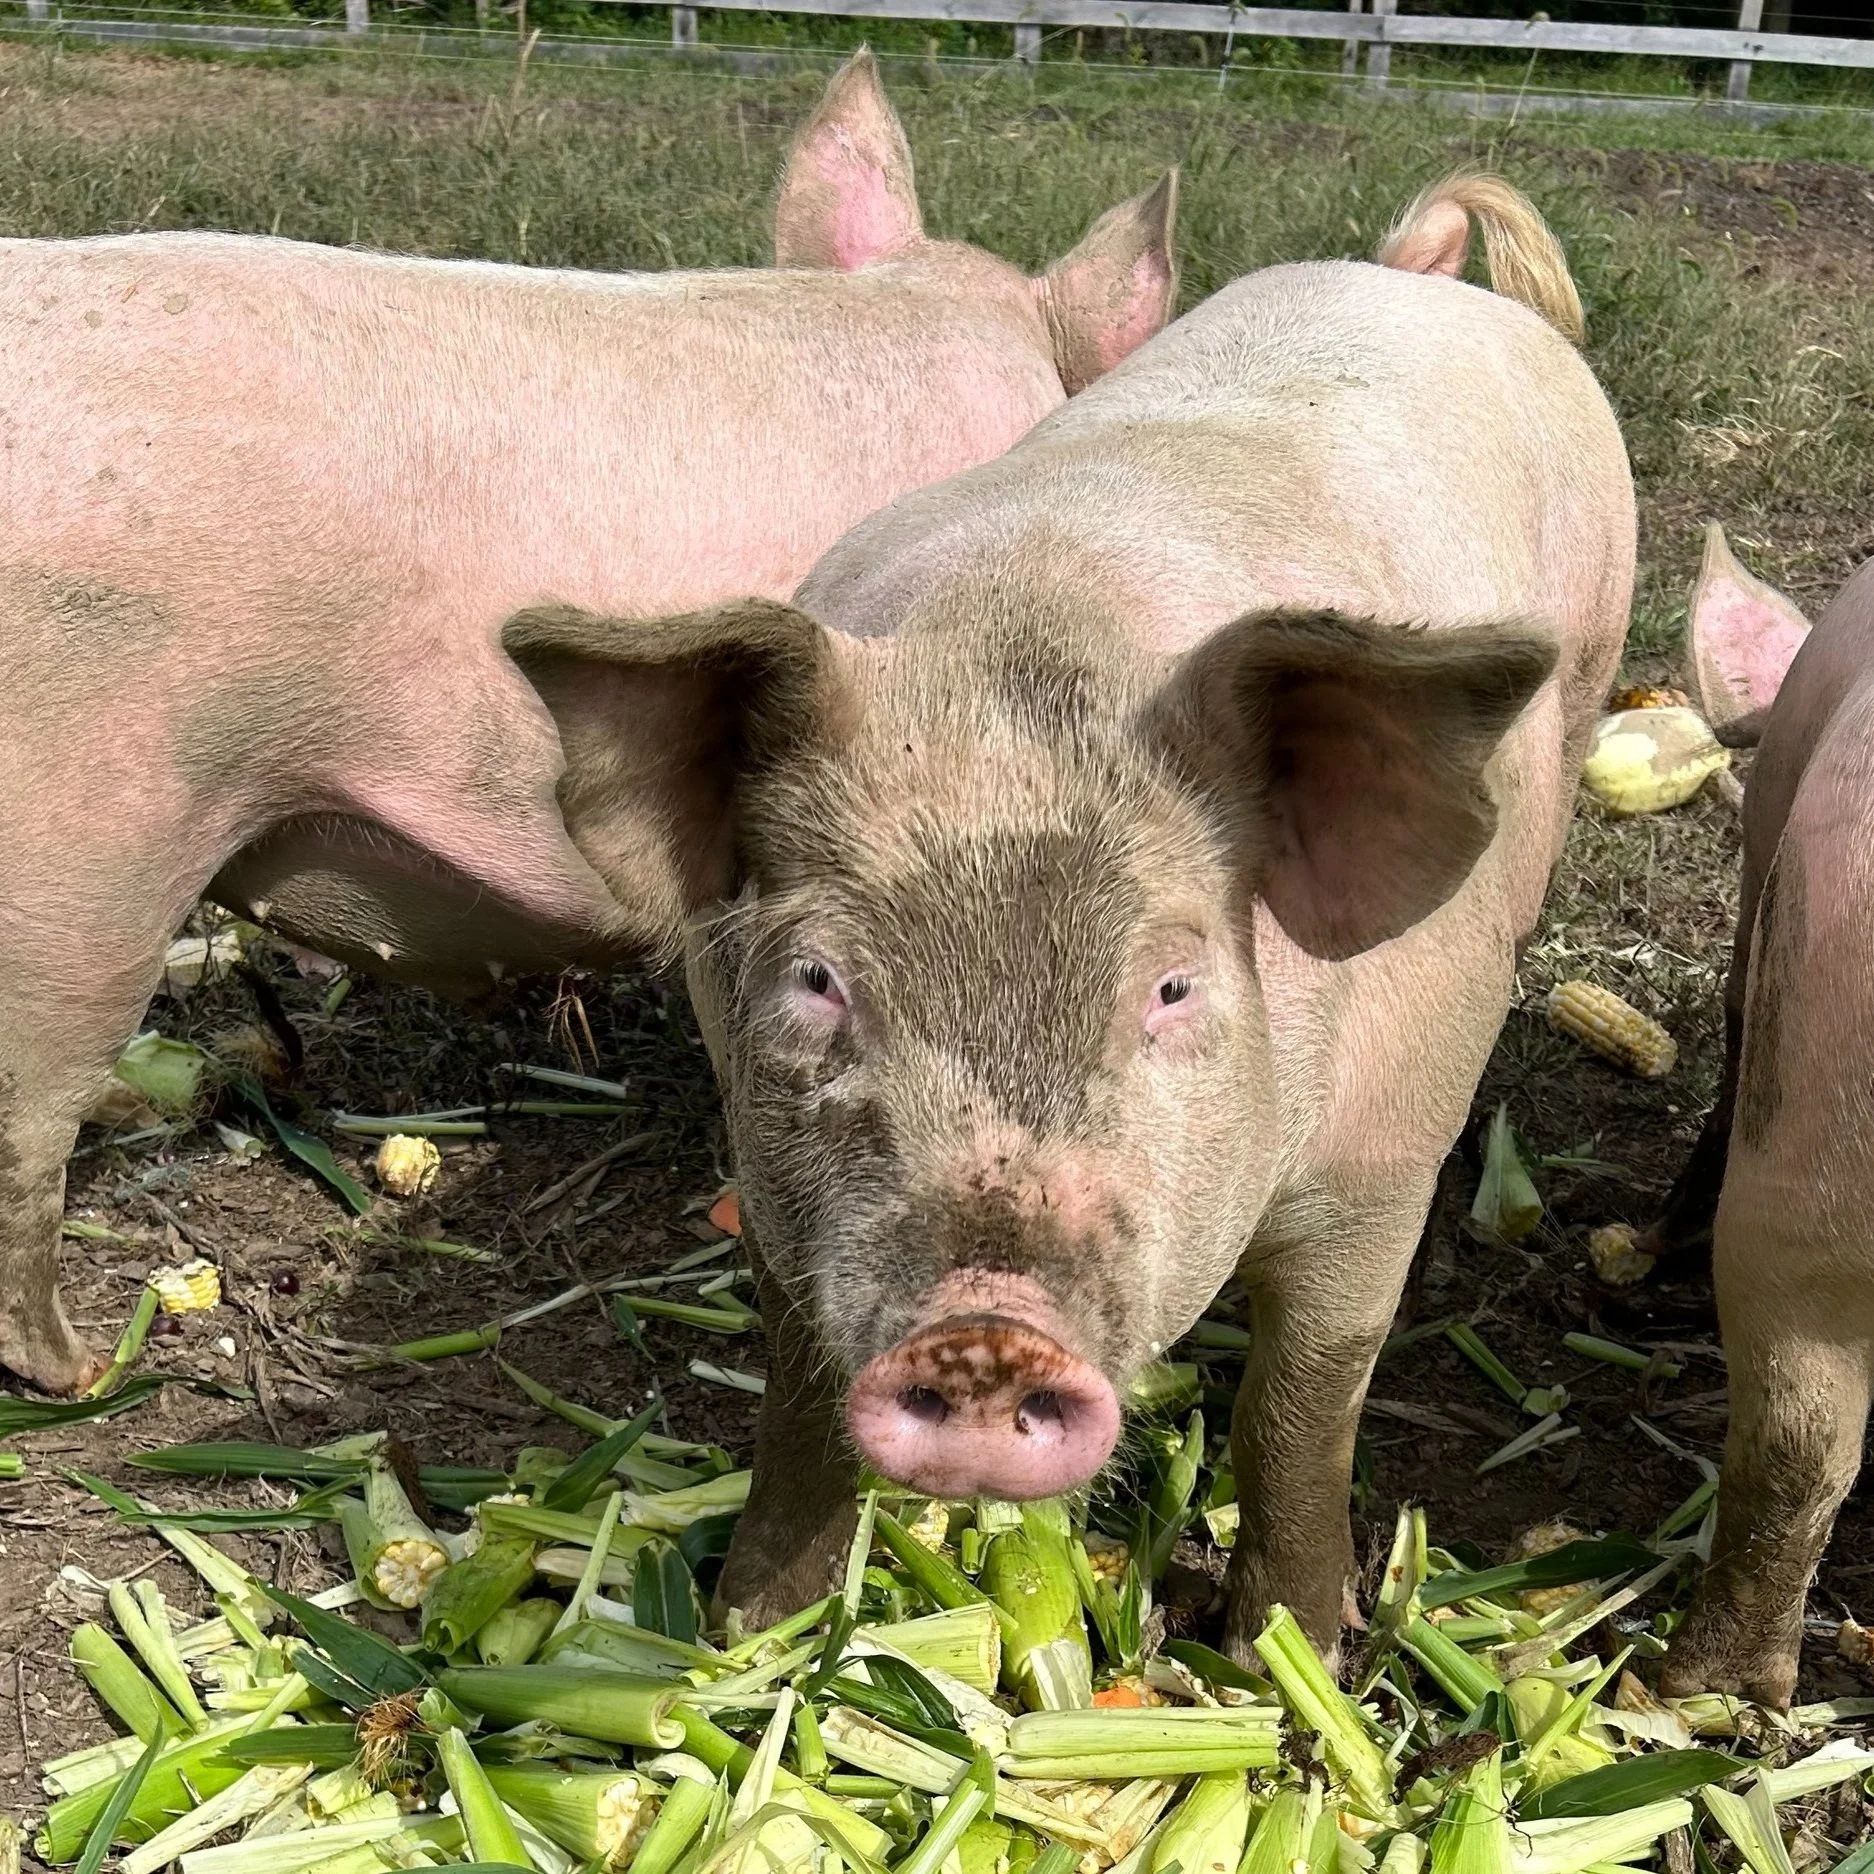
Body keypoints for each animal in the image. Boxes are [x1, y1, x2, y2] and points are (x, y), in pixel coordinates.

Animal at [505, 174, 1634, 1650]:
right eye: (816, 979)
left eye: (1171, 986)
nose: (982, 1326)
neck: (1028, 636)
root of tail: (1416, 274)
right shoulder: (766, 1152)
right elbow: (799, 1400)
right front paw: (749, 1630)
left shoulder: (1384, 1154)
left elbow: (1303, 1399)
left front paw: (1280, 1651)